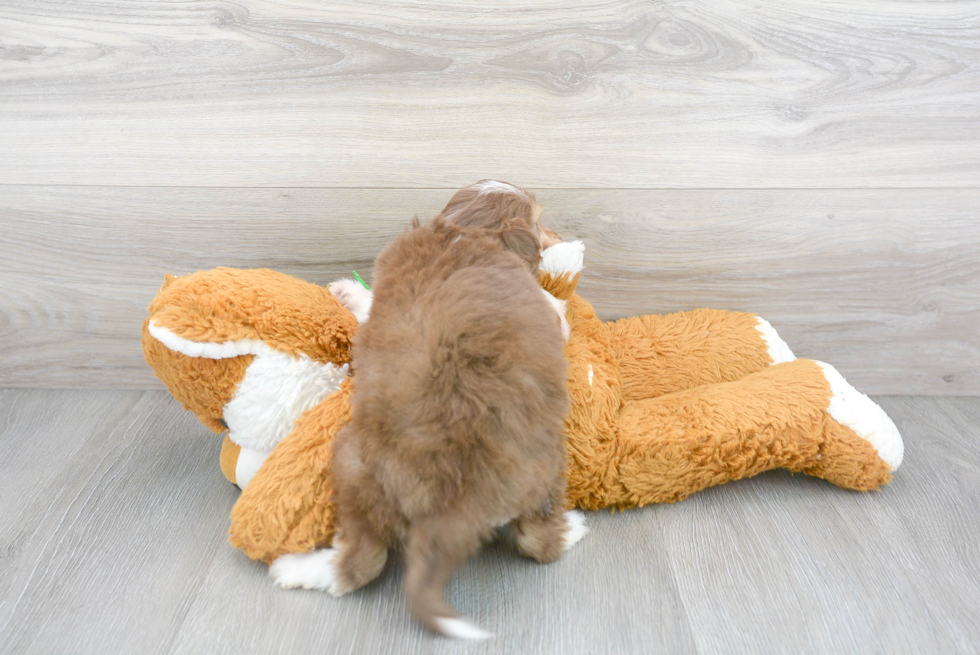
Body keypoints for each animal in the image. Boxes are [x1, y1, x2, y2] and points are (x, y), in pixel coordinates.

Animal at [272, 192, 584, 640]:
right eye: (540, 222)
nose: (559, 235)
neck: (465, 231)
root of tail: (456, 508)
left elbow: (368, 304)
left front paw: (348, 290)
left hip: (350, 463)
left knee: (361, 564)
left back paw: (296, 568)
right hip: (548, 471)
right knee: (538, 542)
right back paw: (571, 527)